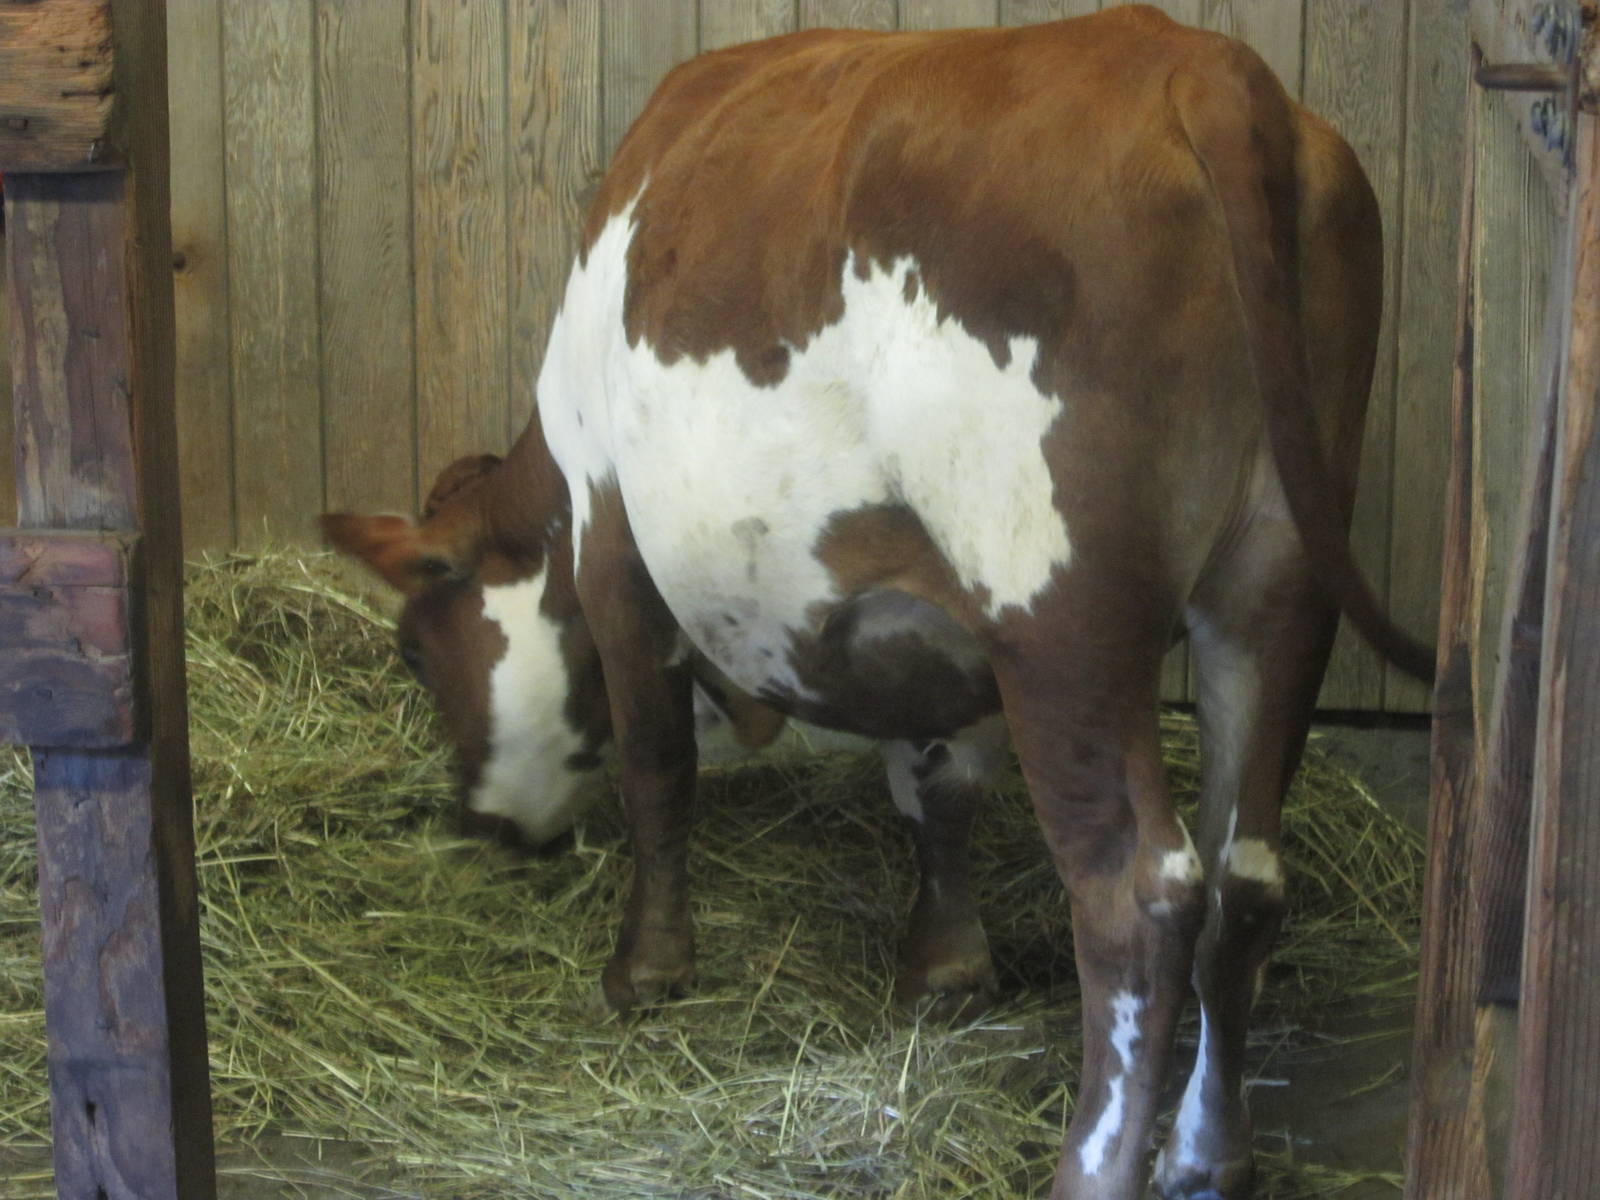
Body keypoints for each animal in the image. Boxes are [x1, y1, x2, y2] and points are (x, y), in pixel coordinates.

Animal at [323, 8, 1433, 1198]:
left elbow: (656, 763)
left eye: (415, 652)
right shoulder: (933, 620)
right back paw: (1206, 1156)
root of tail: (1198, 63)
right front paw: (943, 969)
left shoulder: (612, 538)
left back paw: (1094, 1163)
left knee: (1141, 895)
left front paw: (646, 971)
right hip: (1277, 585)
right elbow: (936, 781)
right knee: (1247, 872)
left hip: (1059, 612)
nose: (478, 823)